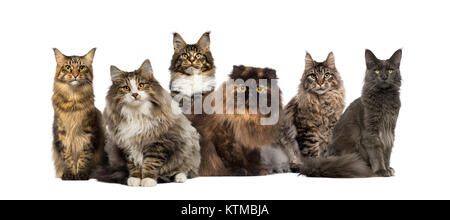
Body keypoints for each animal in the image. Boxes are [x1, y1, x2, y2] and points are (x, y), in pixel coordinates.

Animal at [52, 48, 105, 180]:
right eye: (67, 67)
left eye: (81, 67)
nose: (75, 74)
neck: (74, 101)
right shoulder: (62, 134)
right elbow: (68, 157)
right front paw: (70, 174)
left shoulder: (88, 133)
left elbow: (84, 157)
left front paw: (81, 174)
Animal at [298, 49, 402, 178]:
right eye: (377, 71)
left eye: (390, 70)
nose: (384, 77)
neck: (384, 98)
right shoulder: (371, 133)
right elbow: (377, 153)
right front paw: (381, 170)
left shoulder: (389, 130)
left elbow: (387, 152)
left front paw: (387, 168)